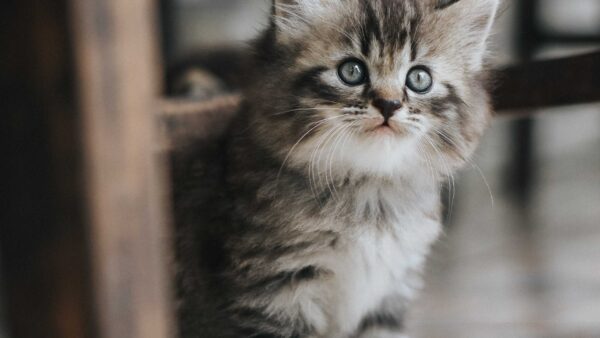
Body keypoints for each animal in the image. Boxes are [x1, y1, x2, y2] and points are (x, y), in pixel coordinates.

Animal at [172, 0, 496, 336]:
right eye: (351, 71)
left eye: (419, 79)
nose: (389, 105)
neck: (370, 194)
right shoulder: (271, 295)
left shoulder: (387, 297)